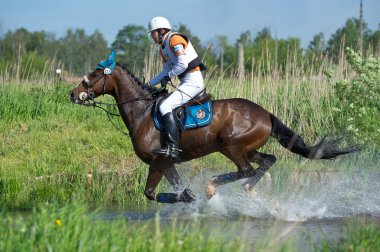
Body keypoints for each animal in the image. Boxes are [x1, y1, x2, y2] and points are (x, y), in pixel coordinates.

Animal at [70, 60, 358, 204]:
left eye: (95, 74)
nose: (73, 93)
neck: (142, 112)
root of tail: (266, 113)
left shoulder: (159, 160)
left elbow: (150, 193)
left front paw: (190, 196)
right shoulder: (166, 163)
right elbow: (173, 189)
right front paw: (188, 196)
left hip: (232, 146)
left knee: (246, 170)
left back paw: (213, 187)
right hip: (247, 148)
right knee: (267, 161)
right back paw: (247, 189)